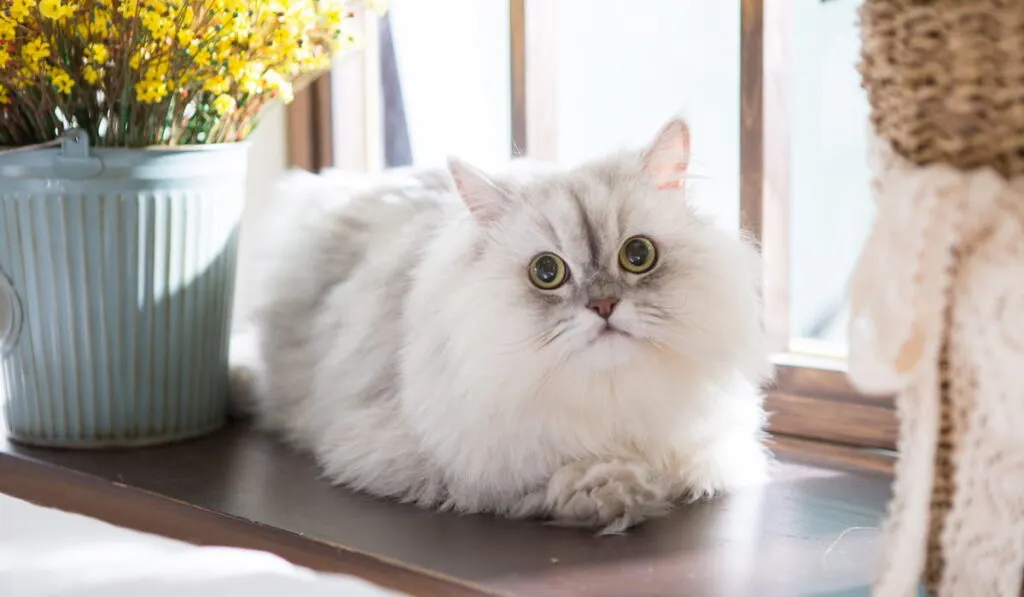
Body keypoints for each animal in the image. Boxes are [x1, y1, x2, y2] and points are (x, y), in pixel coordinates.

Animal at [232, 116, 770, 532]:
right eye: (547, 272)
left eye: (638, 256)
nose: (603, 305)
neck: (607, 396)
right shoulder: (426, 459)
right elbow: (542, 479)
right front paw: (614, 491)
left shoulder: (712, 449)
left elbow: (686, 469)